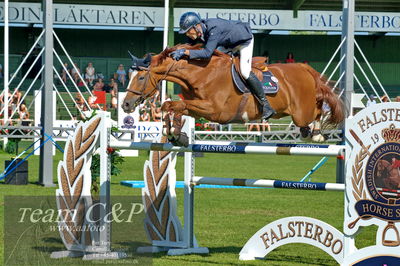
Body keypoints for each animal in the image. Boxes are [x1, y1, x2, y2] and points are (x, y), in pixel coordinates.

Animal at [122, 43, 344, 143]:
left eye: (140, 78)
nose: (125, 104)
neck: (201, 73)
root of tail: (304, 67)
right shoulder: (197, 108)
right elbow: (172, 106)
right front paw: (173, 133)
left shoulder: (214, 111)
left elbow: (171, 105)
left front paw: (174, 132)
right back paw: (309, 133)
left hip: (301, 112)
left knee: (318, 110)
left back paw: (317, 134)